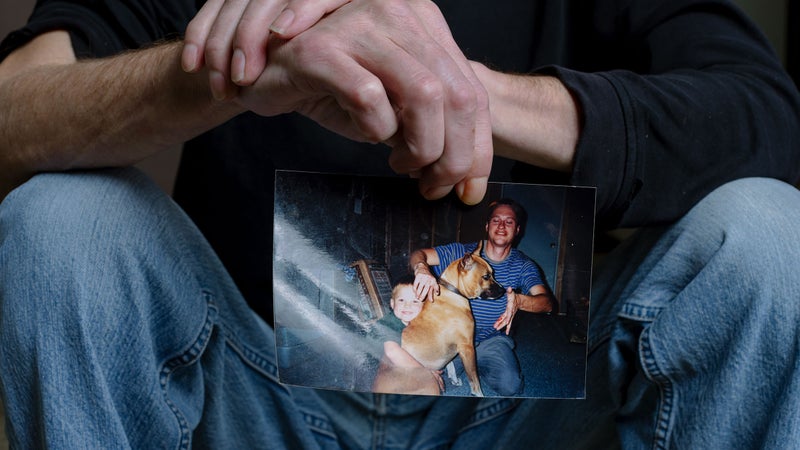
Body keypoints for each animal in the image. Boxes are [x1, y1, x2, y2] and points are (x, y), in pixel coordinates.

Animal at [374, 243, 500, 398]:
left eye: (492, 273)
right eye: (486, 276)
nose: (503, 290)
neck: (452, 292)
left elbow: (451, 365)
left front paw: (453, 378)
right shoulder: (467, 348)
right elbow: (474, 380)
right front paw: (478, 394)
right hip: (430, 383)